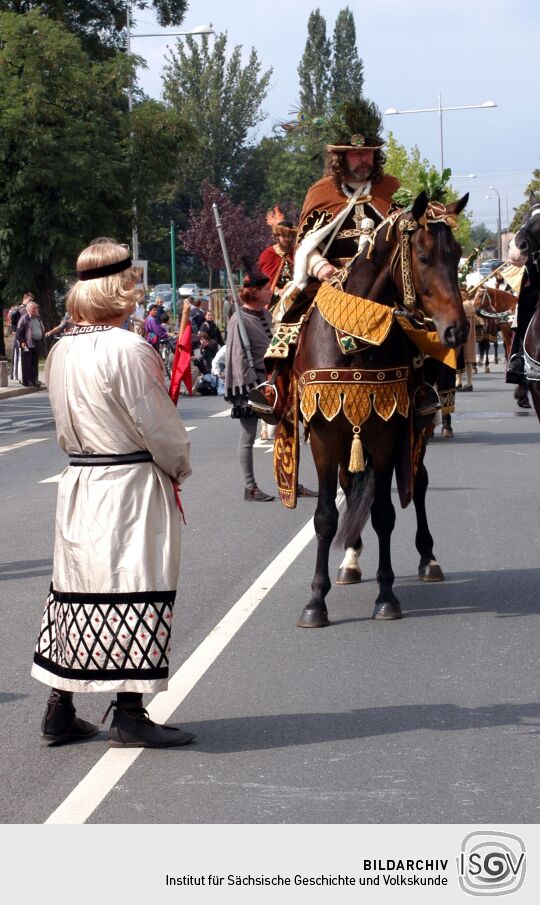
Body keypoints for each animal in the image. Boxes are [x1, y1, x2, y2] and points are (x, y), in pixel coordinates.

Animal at [294, 191, 466, 628]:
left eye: (458, 254)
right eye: (423, 256)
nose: (457, 330)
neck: (356, 339)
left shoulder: (387, 431)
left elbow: (385, 512)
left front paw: (387, 596)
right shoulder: (325, 435)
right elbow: (326, 516)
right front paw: (315, 601)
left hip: (416, 427)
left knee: (418, 484)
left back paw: (428, 559)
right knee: (350, 485)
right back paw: (350, 561)